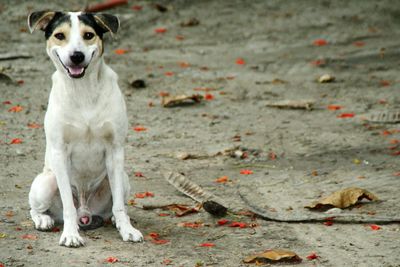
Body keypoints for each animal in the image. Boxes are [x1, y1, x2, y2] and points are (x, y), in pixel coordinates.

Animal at [26, 11, 143, 249]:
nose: (77, 56)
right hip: (46, 182)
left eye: (88, 35)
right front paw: (71, 235)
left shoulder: (115, 150)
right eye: (60, 35)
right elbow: (68, 206)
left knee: (117, 204)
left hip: (122, 177)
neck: (83, 90)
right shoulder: (60, 152)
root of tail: (86, 213)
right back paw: (44, 219)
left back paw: (116, 219)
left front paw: (127, 229)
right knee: (36, 208)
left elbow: (119, 204)